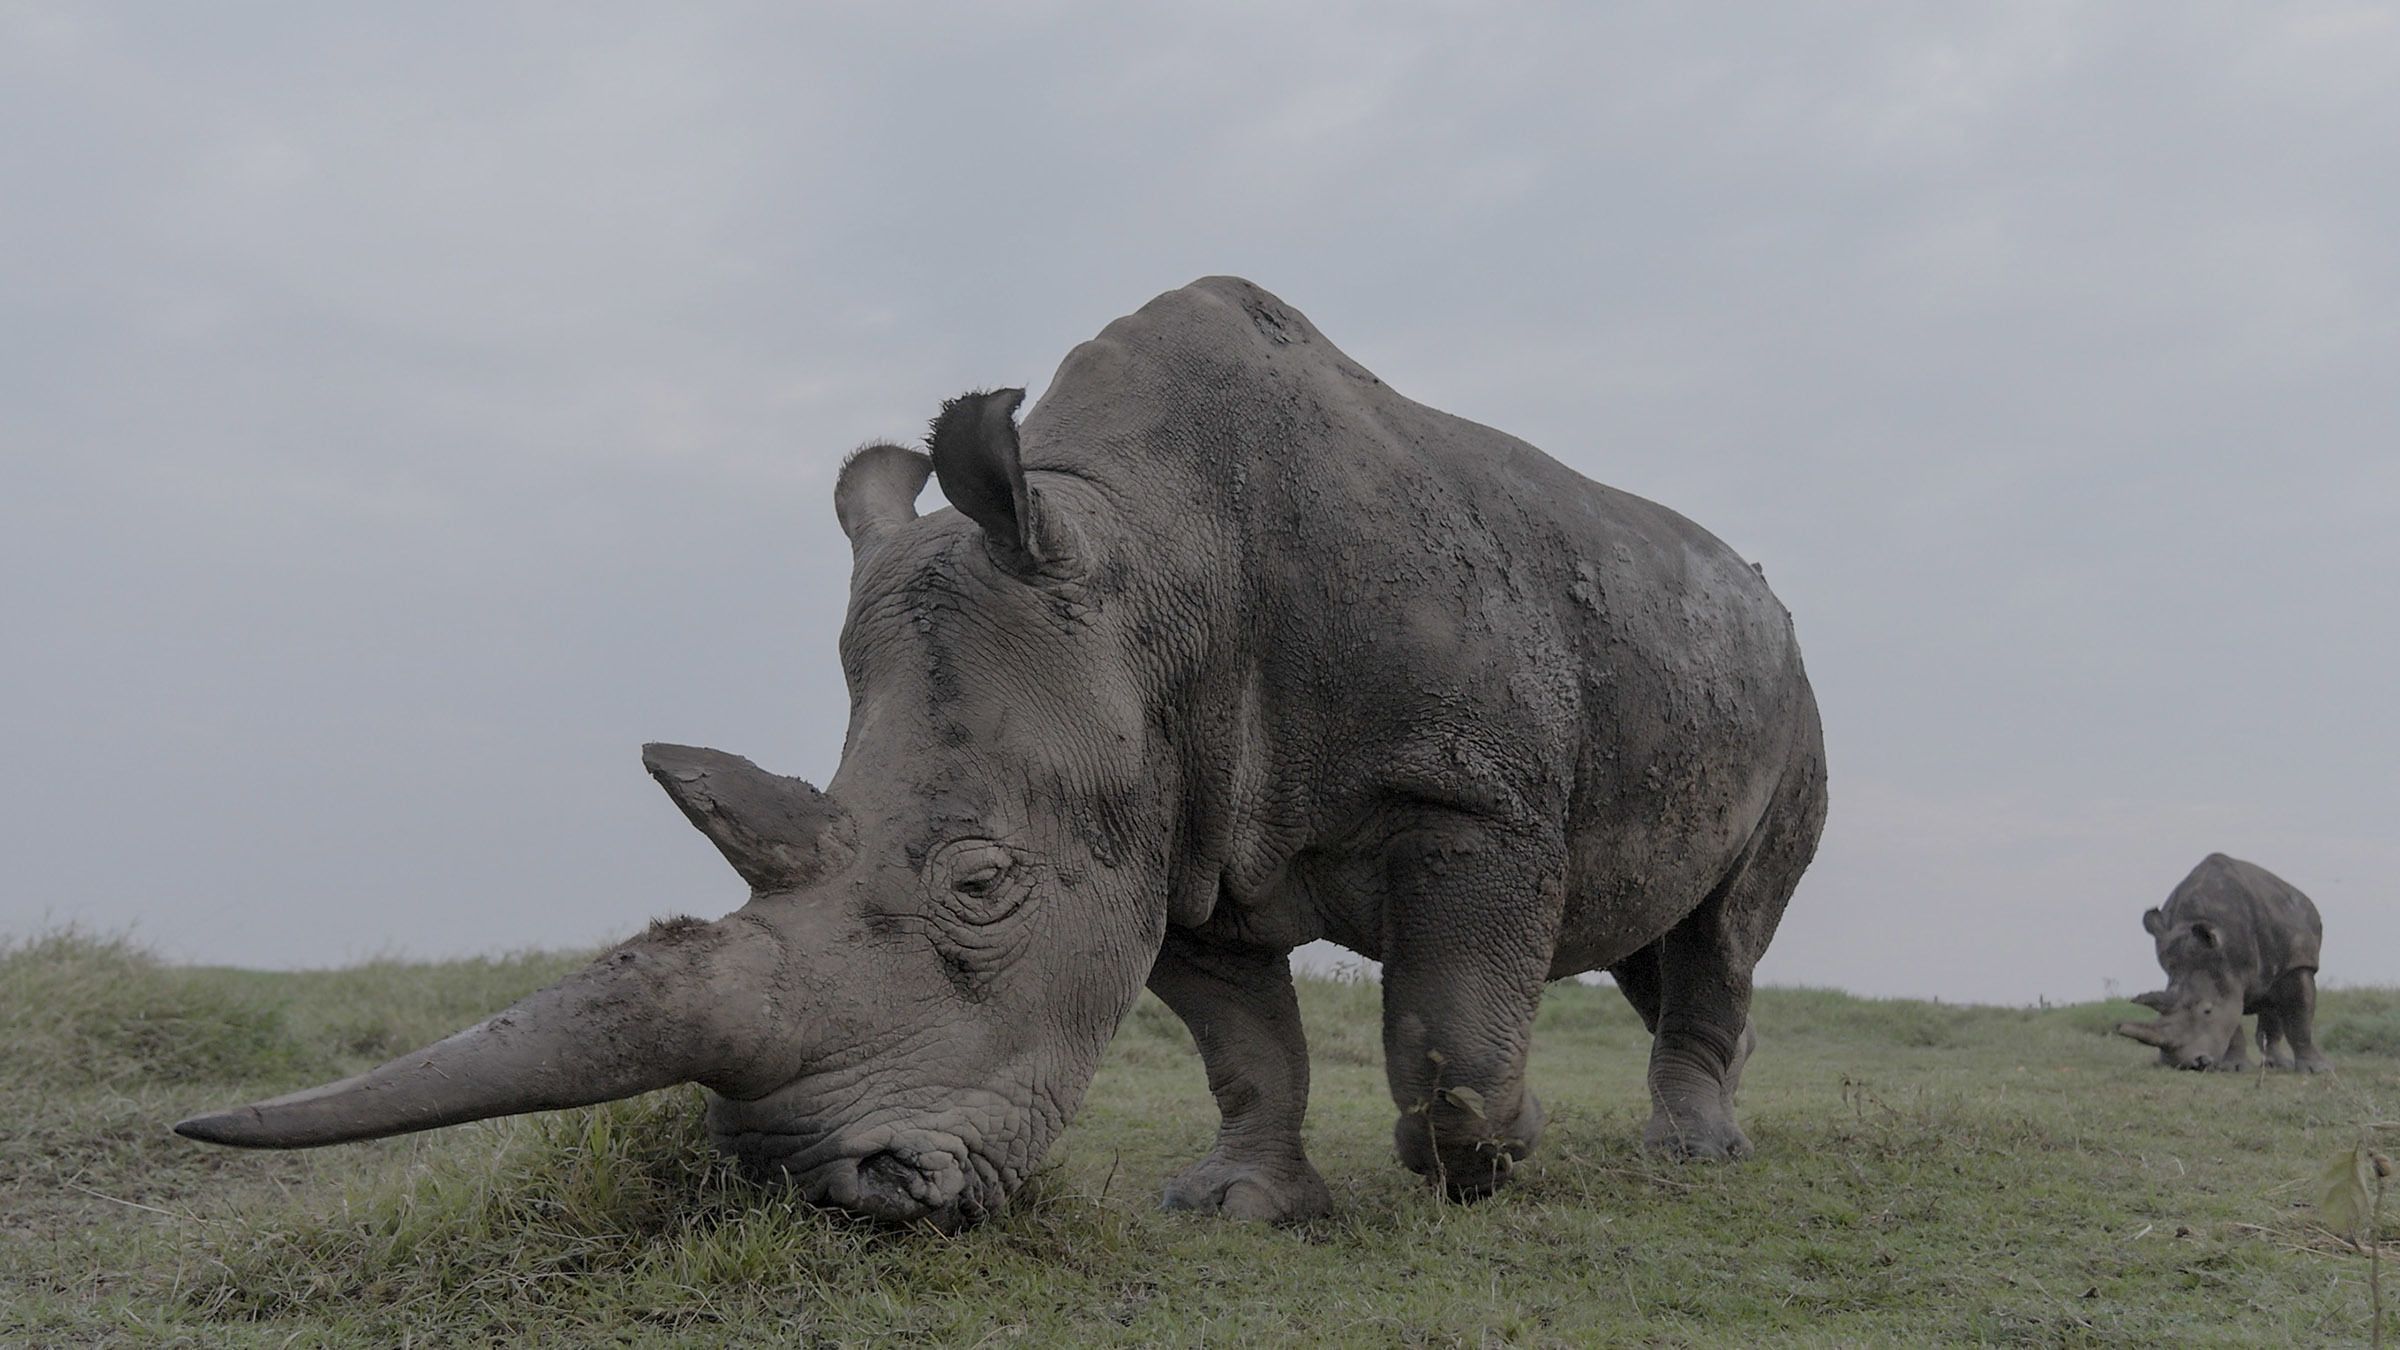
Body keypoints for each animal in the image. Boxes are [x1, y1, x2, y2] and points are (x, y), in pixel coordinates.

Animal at [175, 277, 1828, 1227]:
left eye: (982, 884)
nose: (837, 1192)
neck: (1155, 551)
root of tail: (1756, 591)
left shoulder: (1468, 790)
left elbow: (1448, 1031)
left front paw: (1489, 1162)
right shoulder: (1173, 827)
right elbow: (1244, 1043)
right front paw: (1236, 1203)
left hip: (1793, 681)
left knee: (1730, 926)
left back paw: (1693, 1162)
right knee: (1668, 937)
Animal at [2116, 853, 2331, 1073]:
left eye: (2207, 1010)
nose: (2186, 1064)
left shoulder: (2297, 962)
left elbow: (2299, 1018)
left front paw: (2316, 1070)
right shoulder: (2223, 975)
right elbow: (2231, 1021)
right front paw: (2235, 1068)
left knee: (2277, 996)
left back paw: (2278, 1066)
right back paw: (2273, 1065)